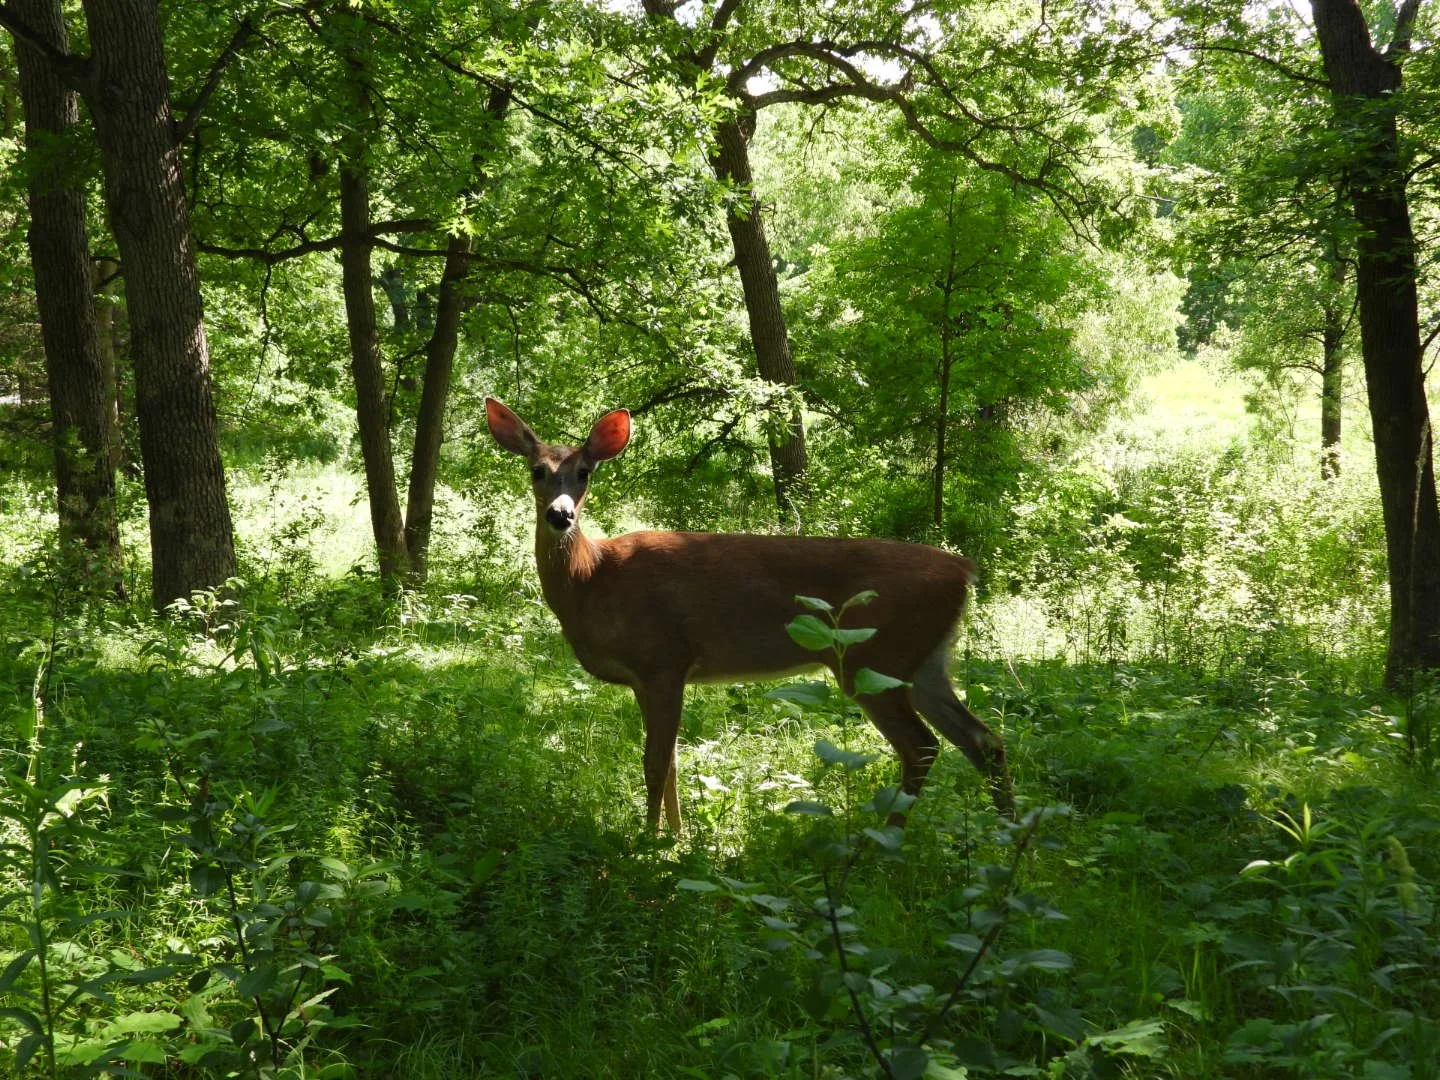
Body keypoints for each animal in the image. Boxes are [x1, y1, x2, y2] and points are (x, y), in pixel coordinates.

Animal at [485, 397, 1015, 832]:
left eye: (585, 472)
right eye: (536, 470)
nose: (560, 515)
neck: (592, 577)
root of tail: (964, 570)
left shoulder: (663, 659)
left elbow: (655, 760)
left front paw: (648, 843)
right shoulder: (645, 676)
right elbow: (672, 760)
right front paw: (677, 836)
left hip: (874, 656)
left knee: (922, 745)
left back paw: (887, 839)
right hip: (922, 661)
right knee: (984, 739)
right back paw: (1006, 837)